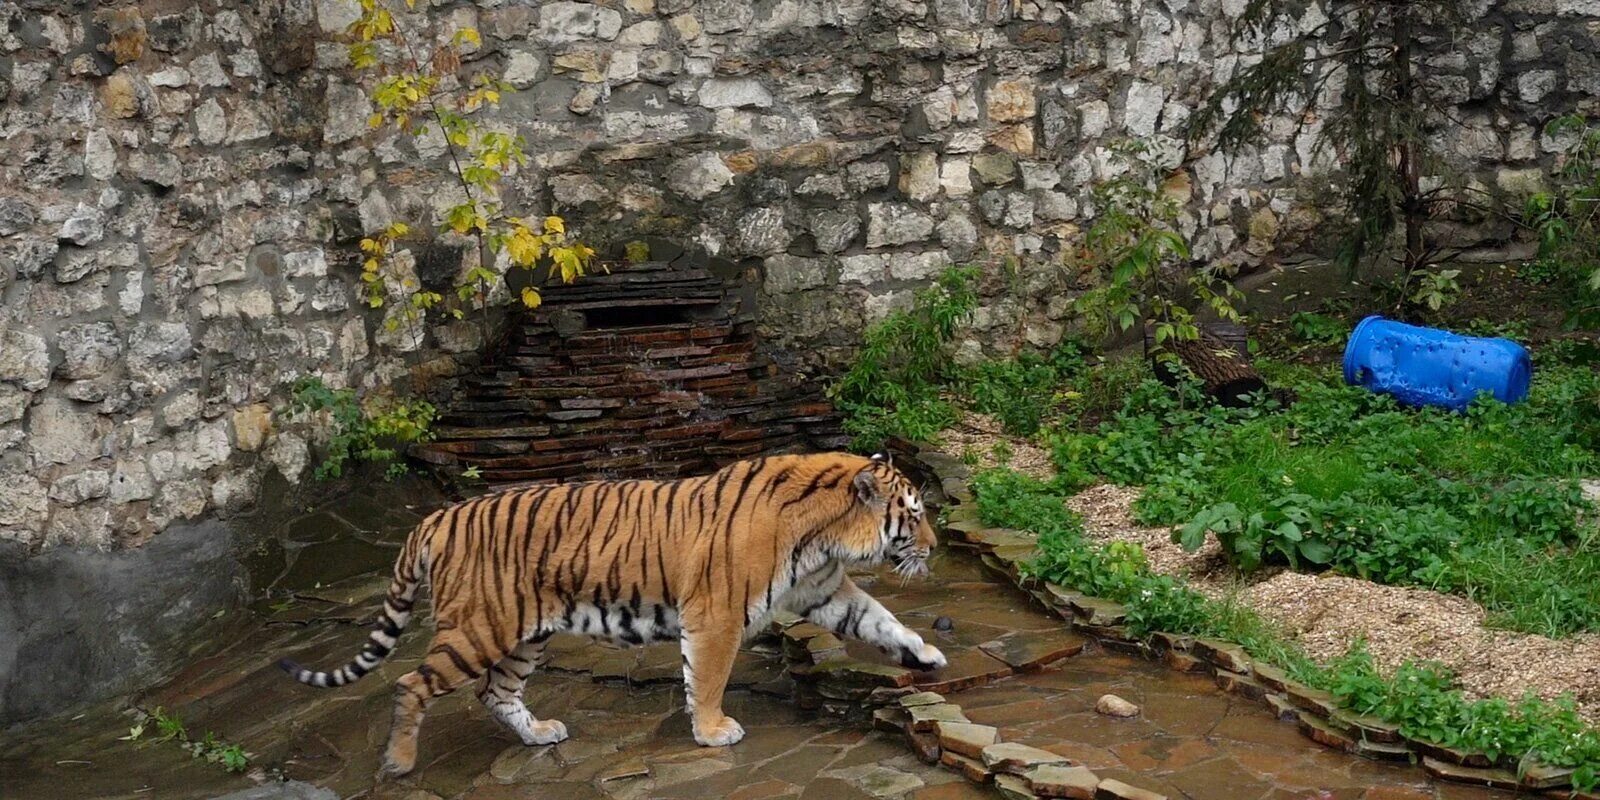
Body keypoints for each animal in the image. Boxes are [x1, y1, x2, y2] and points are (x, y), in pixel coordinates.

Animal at [280, 454, 940, 777]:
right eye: (913, 514)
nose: (933, 547)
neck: (824, 537)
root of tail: (435, 517)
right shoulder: (716, 615)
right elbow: (708, 678)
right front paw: (712, 732)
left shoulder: (821, 592)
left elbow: (880, 619)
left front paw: (926, 654)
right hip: (478, 629)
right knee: (411, 683)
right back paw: (398, 763)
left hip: (525, 635)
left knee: (495, 692)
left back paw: (540, 734)